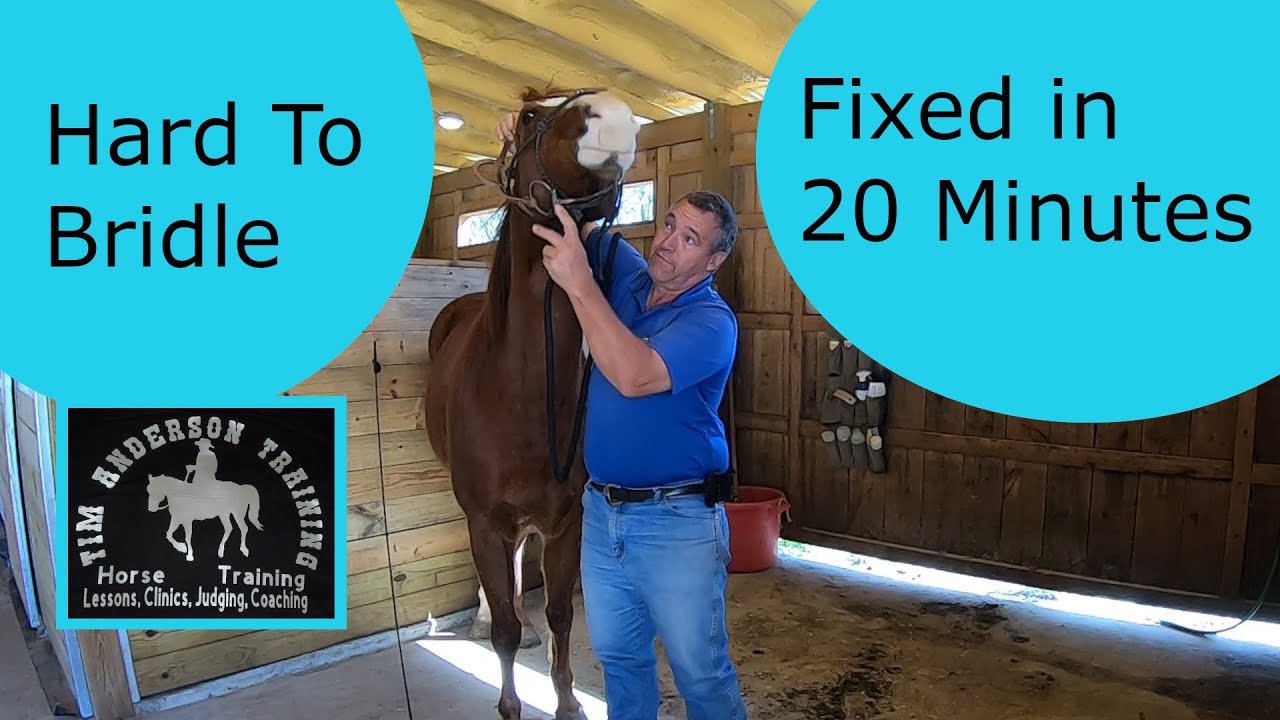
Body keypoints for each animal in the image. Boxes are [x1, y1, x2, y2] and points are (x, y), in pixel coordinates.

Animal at [424, 87, 641, 720]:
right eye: (527, 117)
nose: (613, 113)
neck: (517, 389)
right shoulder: (485, 521)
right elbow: (501, 630)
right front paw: (510, 700)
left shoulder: (566, 523)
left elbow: (564, 615)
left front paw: (567, 701)